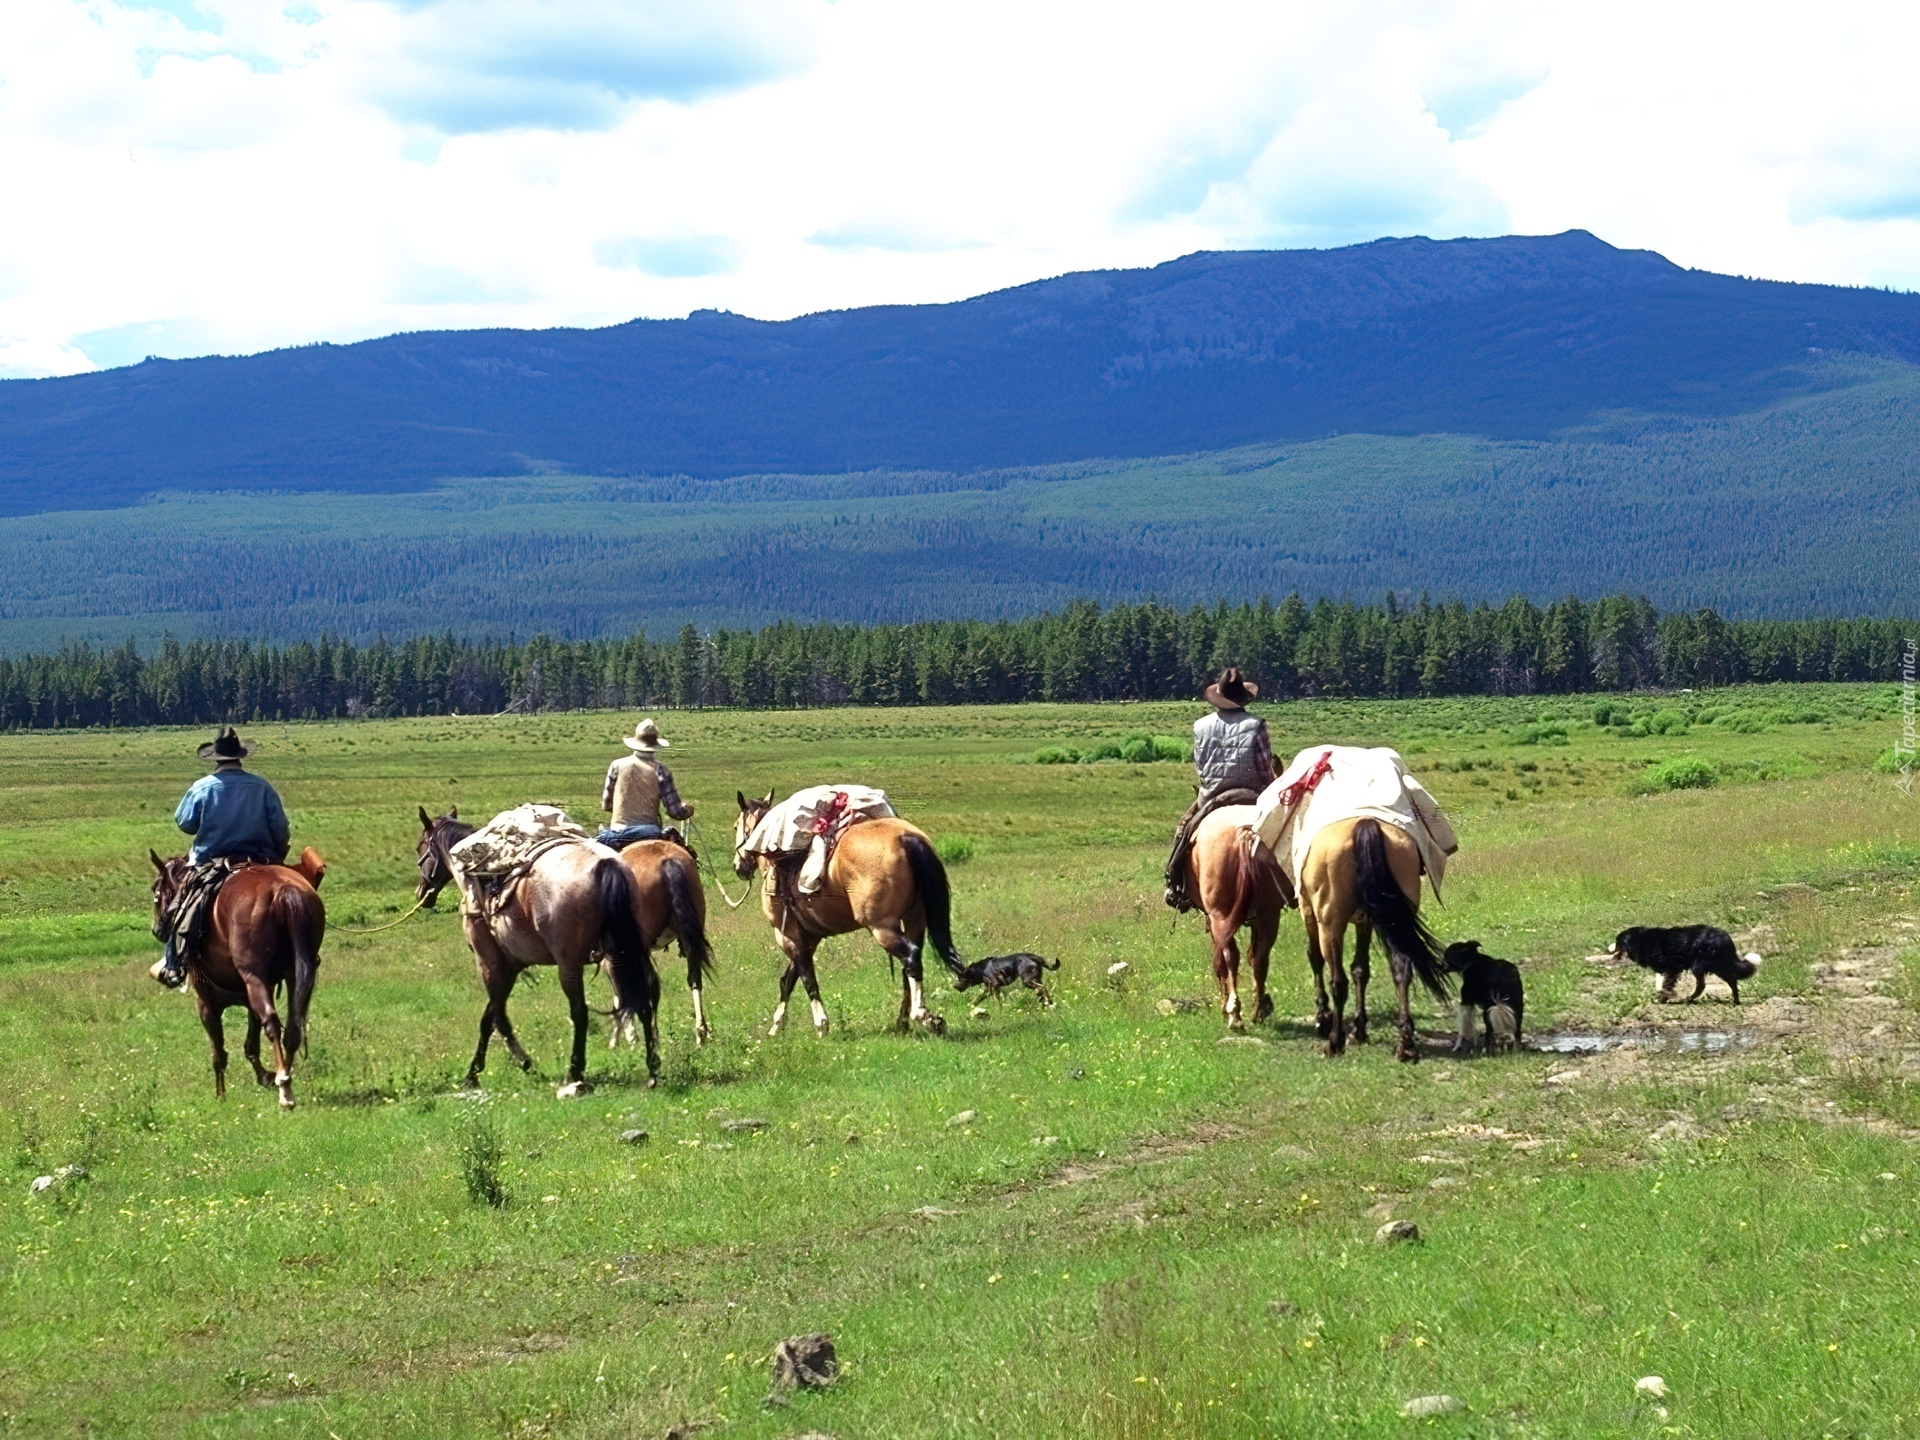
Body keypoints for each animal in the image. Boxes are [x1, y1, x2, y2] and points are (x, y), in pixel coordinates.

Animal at [148, 852, 326, 1113]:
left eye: (156, 890)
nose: (157, 930)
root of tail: (285, 892)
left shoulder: (207, 1003)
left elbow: (219, 1053)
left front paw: (220, 1096)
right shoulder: (250, 997)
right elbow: (251, 1044)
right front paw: (264, 1077)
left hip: (255, 980)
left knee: (272, 1023)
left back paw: (285, 1089)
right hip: (298, 973)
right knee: (293, 1025)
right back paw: (284, 1076)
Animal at [737, 791, 975, 1036]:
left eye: (737, 826)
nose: (739, 867)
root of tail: (907, 837)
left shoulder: (788, 936)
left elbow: (806, 978)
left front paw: (821, 1024)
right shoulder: (808, 939)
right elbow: (789, 979)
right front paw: (776, 1026)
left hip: (881, 927)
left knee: (910, 956)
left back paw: (923, 1016)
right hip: (914, 922)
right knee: (909, 964)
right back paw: (903, 1021)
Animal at [1182, 806, 1290, 1029]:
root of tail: (1246, 833)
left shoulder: (1212, 919)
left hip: (1220, 916)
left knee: (1229, 956)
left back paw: (1234, 1013)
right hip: (1269, 912)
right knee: (1260, 957)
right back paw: (1258, 1010)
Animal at [1297, 817, 1443, 1067]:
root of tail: (1365, 823)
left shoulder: (1308, 909)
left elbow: (1315, 958)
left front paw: (1323, 1018)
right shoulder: (1365, 921)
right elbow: (1361, 969)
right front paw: (1359, 1030)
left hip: (1330, 925)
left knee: (1338, 981)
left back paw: (1334, 1042)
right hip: (1396, 920)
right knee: (1402, 972)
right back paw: (1406, 1045)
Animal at [1612, 925, 1758, 1006]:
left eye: (1618, 941)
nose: (1612, 949)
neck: (1641, 940)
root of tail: (1727, 939)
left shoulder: (1672, 968)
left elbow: (1666, 985)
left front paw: (1664, 997)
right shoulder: (1665, 970)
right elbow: (1662, 984)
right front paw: (1662, 996)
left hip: (1699, 966)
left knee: (1702, 985)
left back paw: (1689, 999)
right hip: (1718, 966)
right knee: (1732, 980)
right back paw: (1736, 1001)